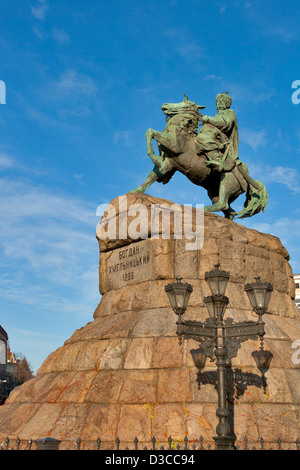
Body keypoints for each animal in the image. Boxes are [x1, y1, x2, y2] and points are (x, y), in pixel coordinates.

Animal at [130, 96, 268, 221]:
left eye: (185, 104)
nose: (165, 105)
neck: (181, 132)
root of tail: (248, 179)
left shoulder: (173, 145)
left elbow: (151, 132)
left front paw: (152, 154)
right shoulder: (169, 163)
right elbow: (151, 176)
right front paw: (136, 190)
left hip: (226, 184)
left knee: (223, 204)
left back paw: (200, 208)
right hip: (213, 192)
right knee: (229, 211)